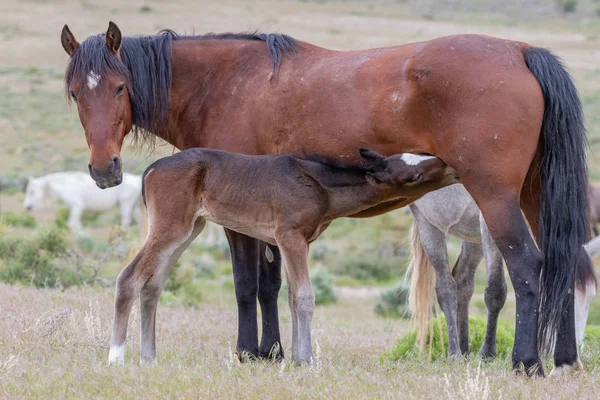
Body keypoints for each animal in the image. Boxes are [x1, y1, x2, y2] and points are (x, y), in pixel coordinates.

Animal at [109, 148, 460, 366]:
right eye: (413, 177)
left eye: (423, 156)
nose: (452, 167)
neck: (321, 186)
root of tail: (152, 168)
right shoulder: (290, 236)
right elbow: (304, 296)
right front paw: (306, 360)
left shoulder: (297, 242)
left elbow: (291, 297)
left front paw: (296, 356)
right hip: (171, 227)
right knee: (128, 278)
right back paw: (116, 357)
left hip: (188, 230)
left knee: (152, 285)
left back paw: (149, 358)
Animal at [406, 185, 596, 360]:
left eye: (591, 296)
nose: (572, 353)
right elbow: (496, 291)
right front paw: (487, 353)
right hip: (428, 223)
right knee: (446, 288)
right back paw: (455, 354)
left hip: (473, 235)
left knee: (463, 281)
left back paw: (465, 349)